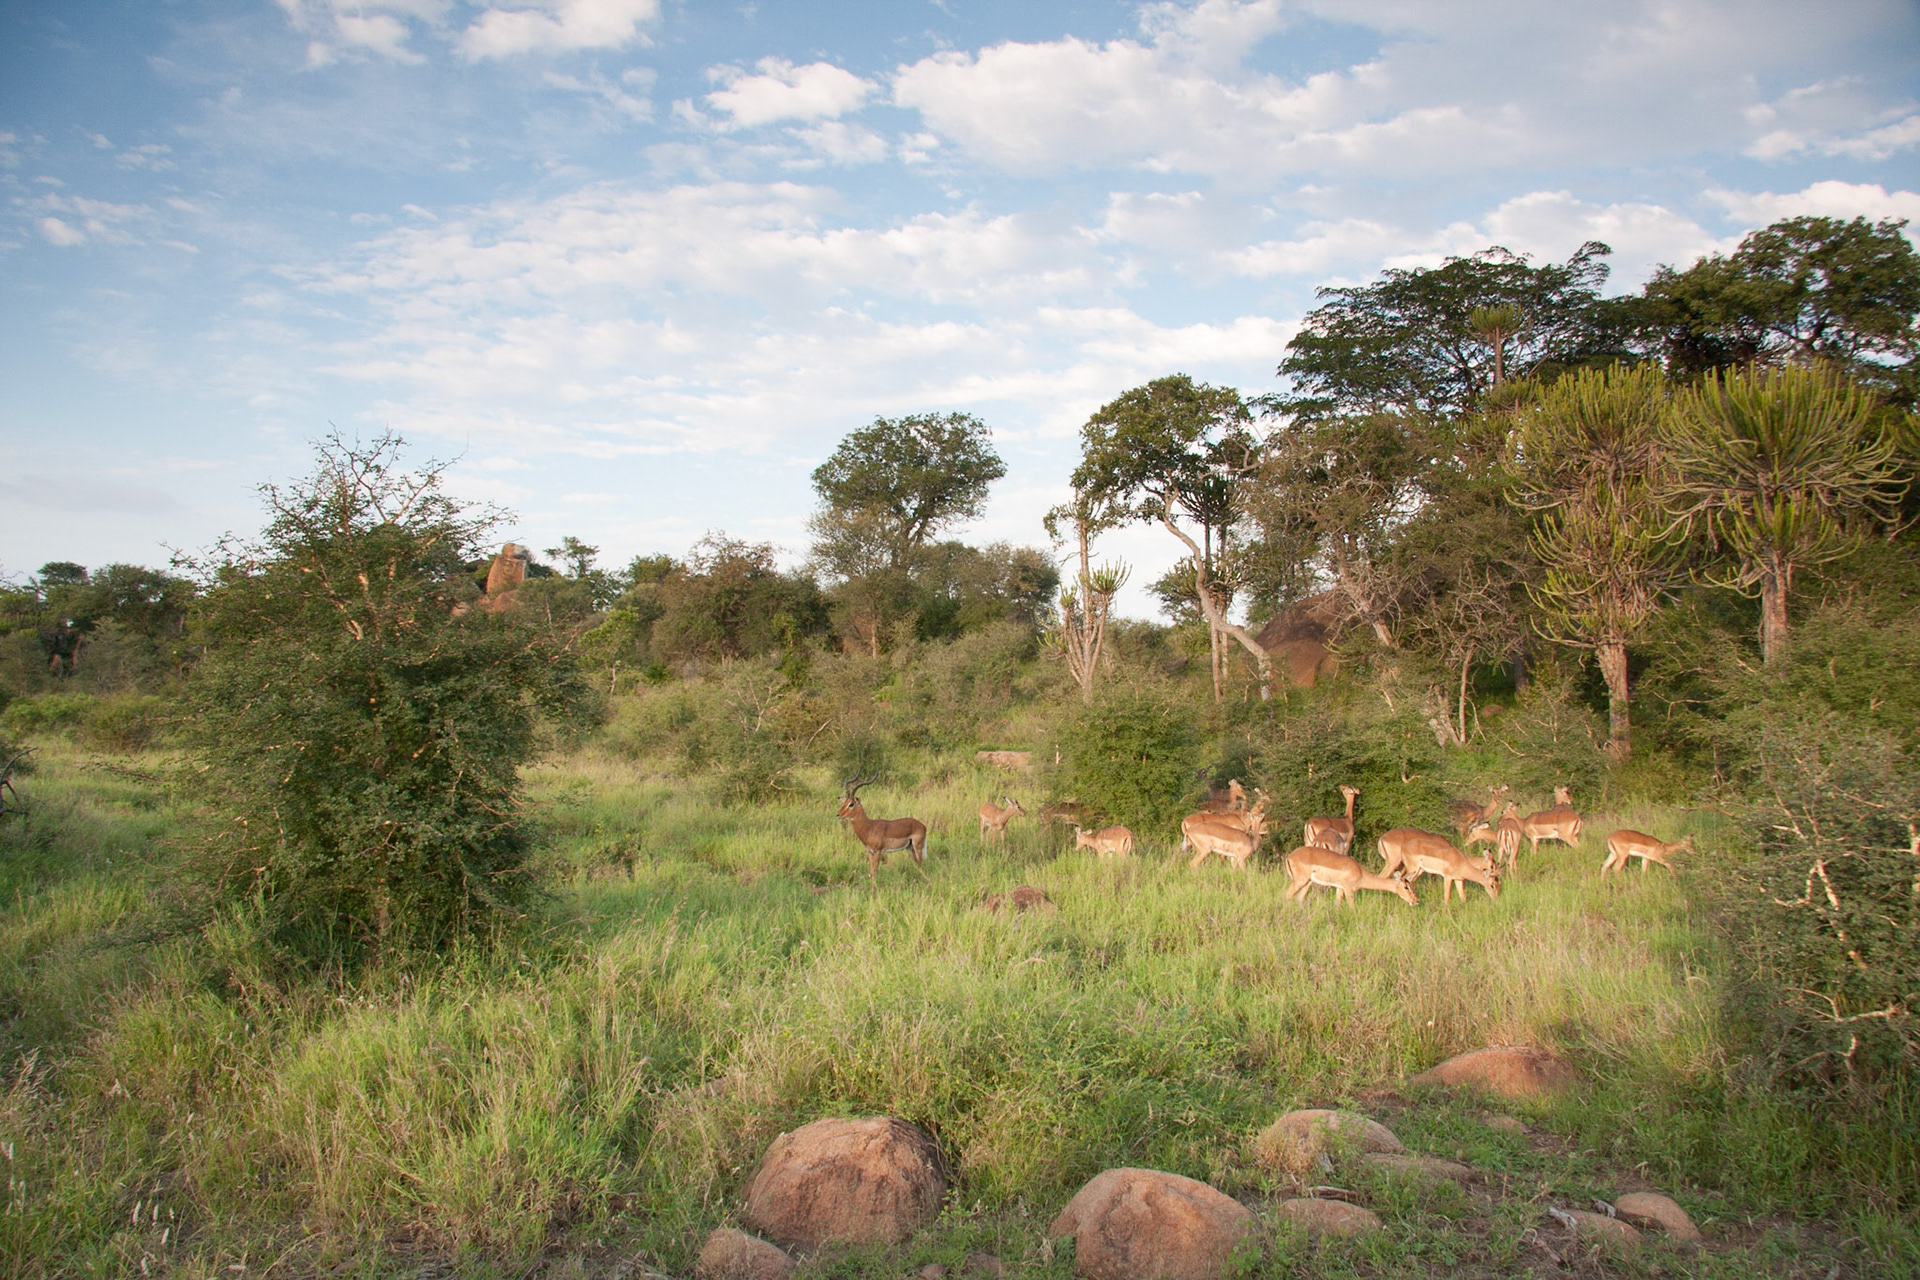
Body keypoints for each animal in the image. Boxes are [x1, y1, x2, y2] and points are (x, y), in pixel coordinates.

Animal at [1284, 844, 1418, 907]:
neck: (1360, 873)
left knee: (1298, 899)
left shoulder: (1340, 888)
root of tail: (1290, 856)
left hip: (1307, 883)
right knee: (1286, 895)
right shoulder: (1348, 889)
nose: (1416, 900)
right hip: (1300, 881)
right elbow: (1352, 906)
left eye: (1412, 886)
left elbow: (1337, 905)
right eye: (1406, 887)